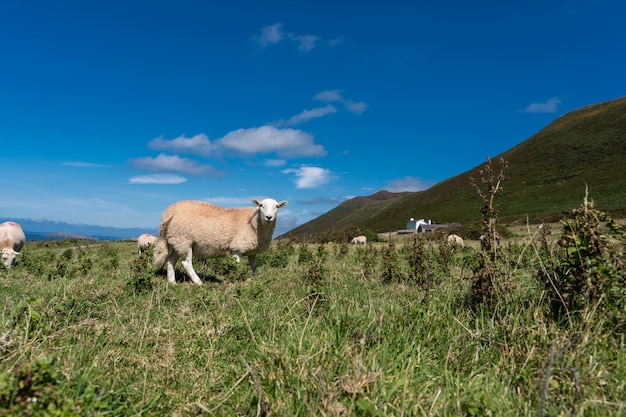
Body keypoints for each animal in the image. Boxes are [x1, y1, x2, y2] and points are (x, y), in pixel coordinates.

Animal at [154, 197, 288, 282]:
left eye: (277, 206)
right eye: (261, 205)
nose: (268, 217)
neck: (253, 223)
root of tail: (167, 212)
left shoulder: (252, 252)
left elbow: (254, 266)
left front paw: (250, 278)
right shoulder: (237, 248)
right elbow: (236, 265)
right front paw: (235, 278)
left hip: (176, 241)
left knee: (171, 260)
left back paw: (172, 282)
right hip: (184, 240)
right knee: (186, 263)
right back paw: (198, 282)